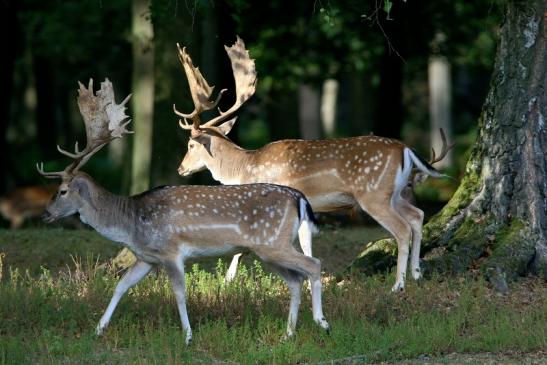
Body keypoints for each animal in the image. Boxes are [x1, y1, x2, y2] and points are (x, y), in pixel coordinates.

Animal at [38, 79, 332, 344]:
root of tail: (299, 197)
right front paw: (98, 330)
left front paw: (188, 336)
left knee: (314, 264)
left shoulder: (171, 253)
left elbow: (179, 293)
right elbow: (121, 286)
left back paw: (322, 322)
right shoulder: (147, 257)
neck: (130, 224)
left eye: (62, 190)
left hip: (272, 243)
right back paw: (288, 334)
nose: (45, 213)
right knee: (295, 280)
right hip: (268, 249)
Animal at [173, 37, 452, 292]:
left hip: (374, 194)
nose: (181, 168)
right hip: (395, 193)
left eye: (190, 145)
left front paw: (227, 283)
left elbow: (244, 249)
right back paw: (416, 274)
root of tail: (405, 149)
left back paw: (398, 285)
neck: (244, 168)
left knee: (402, 229)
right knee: (417, 216)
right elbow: (304, 246)